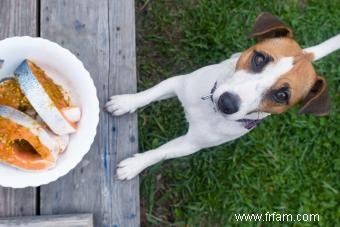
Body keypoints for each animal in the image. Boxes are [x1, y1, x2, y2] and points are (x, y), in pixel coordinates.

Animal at [105, 12, 338, 180]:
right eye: (260, 58)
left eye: (281, 95)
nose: (227, 103)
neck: (209, 111)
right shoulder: (178, 83)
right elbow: (148, 94)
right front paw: (125, 102)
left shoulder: (191, 144)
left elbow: (160, 152)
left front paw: (134, 165)